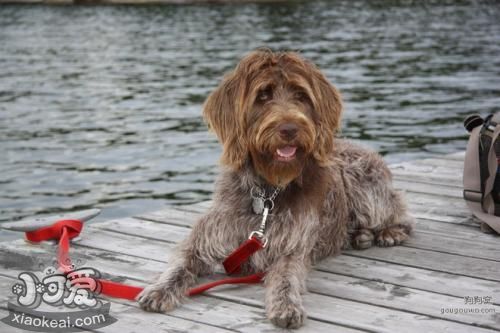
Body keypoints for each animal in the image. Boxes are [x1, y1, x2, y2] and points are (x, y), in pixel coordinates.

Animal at [138, 48, 414, 326]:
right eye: (263, 95)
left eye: (301, 95)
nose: (290, 129)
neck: (267, 192)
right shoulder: (202, 242)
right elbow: (179, 264)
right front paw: (159, 289)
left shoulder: (292, 249)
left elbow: (285, 278)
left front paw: (286, 305)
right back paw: (360, 236)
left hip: (363, 182)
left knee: (400, 213)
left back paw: (388, 232)